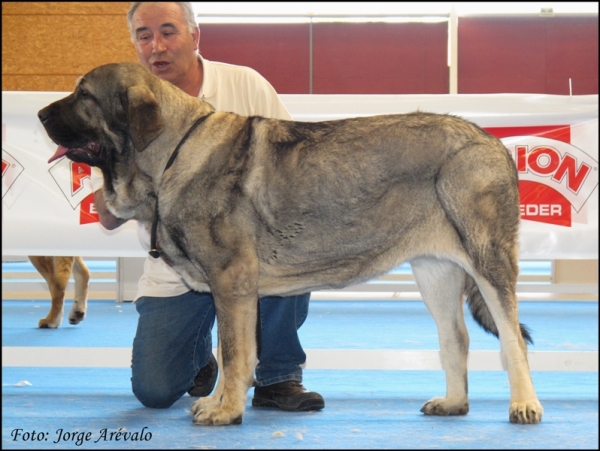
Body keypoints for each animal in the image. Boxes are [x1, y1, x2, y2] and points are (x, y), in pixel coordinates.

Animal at [38, 63, 544, 428]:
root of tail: (492, 141)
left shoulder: (232, 281)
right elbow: (228, 347)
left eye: (85, 95)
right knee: (455, 338)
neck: (171, 154)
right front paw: (218, 402)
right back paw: (454, 403)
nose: (41, 114)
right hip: (435, 270)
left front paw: (226, 410)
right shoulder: (231, 291)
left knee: (511, 339)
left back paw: (524, 405)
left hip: (487, 259)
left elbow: (235, 352)